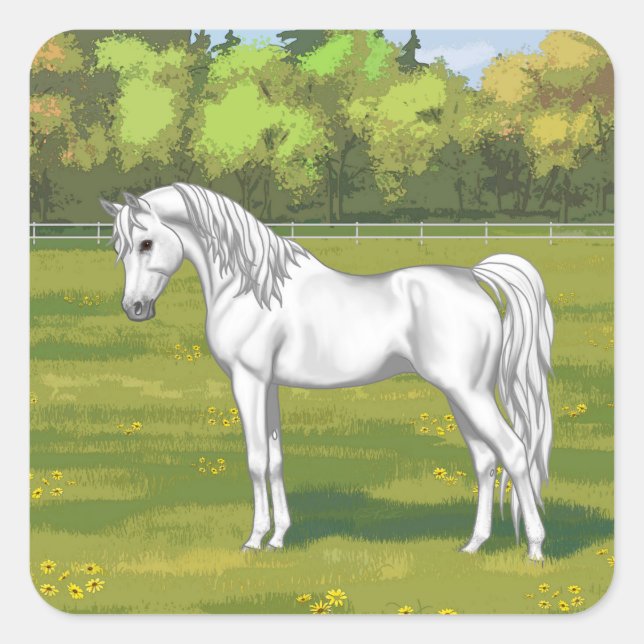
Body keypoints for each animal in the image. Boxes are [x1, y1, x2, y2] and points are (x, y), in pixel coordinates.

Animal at [100, 183, 554, 560]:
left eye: (146, 243)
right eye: (119, 247)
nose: (134, 308)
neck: (252, 288)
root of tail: (473, 278)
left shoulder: (248, 381)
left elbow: (256, 460)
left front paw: (254, 540)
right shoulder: (269, 386)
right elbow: (276, 460)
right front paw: (279, 538)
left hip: (468, 394)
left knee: (513, 452)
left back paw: (535, 549)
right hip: (460, 394)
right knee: (485, 459)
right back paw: (474, 544)